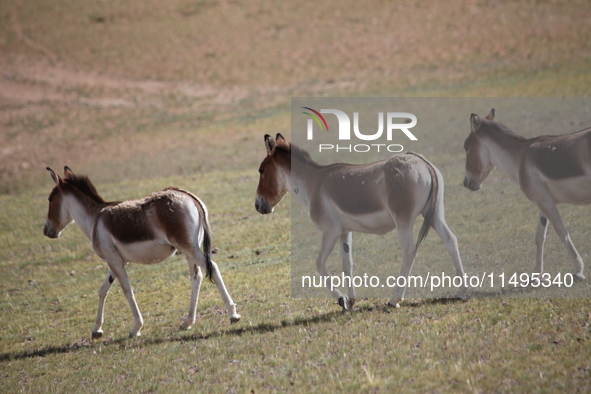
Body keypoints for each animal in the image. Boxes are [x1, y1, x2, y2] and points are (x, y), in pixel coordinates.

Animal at [43, 167, 240, 338]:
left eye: (50, 199)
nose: (46, 231)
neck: (95, 220)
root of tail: (188, 195)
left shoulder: (114, 261)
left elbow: (127, 290)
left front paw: (136, 328)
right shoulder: (116, 261)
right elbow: (103, 290)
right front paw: (97, 329)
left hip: (188, 247)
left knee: (212, 268)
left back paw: (233, 314)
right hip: (189, 249)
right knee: (196, 277)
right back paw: (187, 322)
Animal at [254, 134, 468, 310]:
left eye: (261, 170)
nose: (257, 205)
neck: (313, 183)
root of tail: (422, 162)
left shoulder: (330, 231)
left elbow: (319, 263)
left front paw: (341, 299)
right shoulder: (344, 231)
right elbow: (347, 264)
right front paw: (351, 300)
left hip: (404, 221)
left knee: (409, 252)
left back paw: (395, 300)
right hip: (434, 214)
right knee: (451, 240)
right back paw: (463, 292)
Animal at [464, 107, 588, 280]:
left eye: (466, 147)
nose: (466, 182)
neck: (521, 157)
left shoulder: (546, 203)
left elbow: (562, 233)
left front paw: (578, 270)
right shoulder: (542, 202)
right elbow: (539, 237)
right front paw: (536, 272)